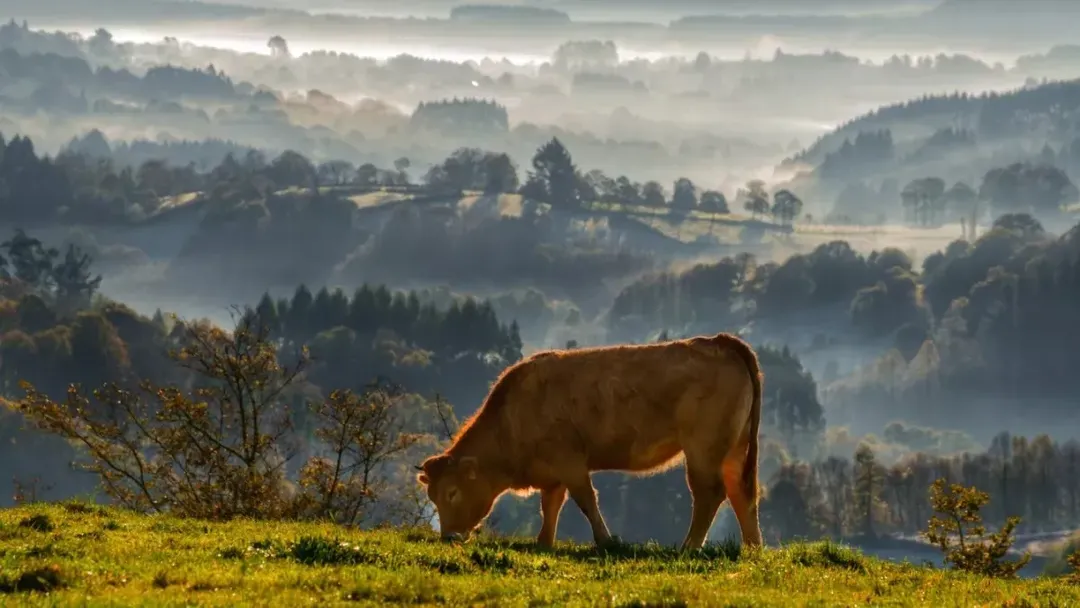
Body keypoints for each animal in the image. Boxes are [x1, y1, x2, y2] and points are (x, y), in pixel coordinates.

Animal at [410, 332, 760, 552]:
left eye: (452, 492)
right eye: (433, 497)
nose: (449, 537)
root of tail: (719, 341)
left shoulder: (570, 460)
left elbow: (586, 500)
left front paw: (606, 541)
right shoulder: (551, 472)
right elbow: (550, 505)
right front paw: (544, 543)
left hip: (703, 447)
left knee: (710, 493)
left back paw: (689, 547)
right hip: (735, 448)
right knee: (742, 492)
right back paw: (753, 548)